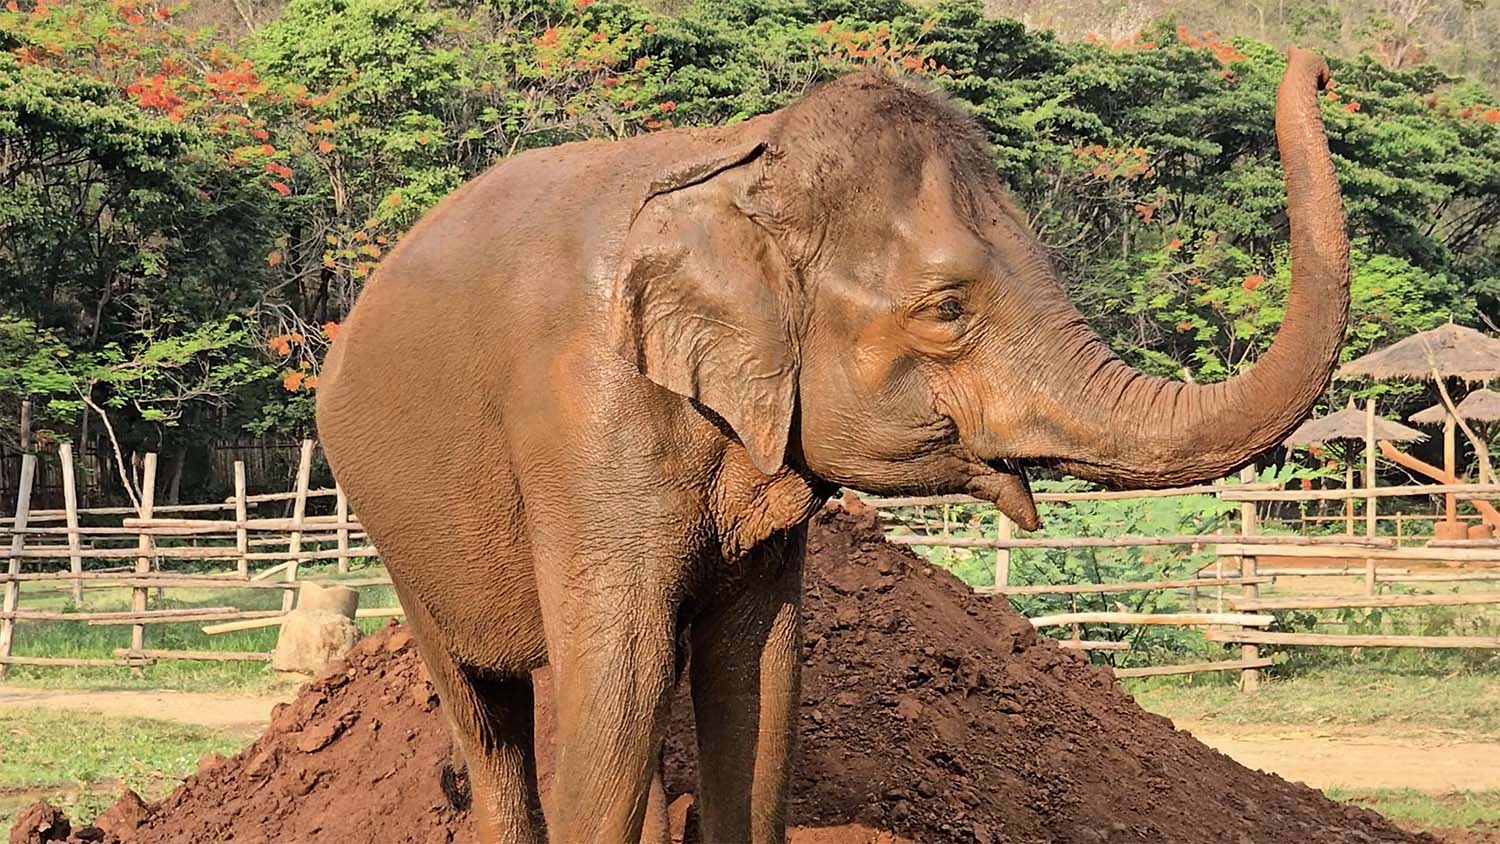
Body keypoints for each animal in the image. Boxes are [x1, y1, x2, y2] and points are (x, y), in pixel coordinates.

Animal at [316, 48, 1348, 844]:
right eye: (947, 309)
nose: (1320, 66)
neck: (741, 170)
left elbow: (759, 673)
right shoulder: (588, 420)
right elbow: (621, 675)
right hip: (390, 521)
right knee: (491, 715)